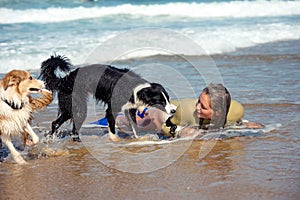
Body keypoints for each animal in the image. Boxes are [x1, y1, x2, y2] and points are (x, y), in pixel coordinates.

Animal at [40, 54, 176, 141]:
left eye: (168, 98)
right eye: (161, 101)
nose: (174, 110)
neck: (138, 89)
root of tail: (64, 80)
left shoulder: (130, 109)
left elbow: (134, 125)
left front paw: (138, 138)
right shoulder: (112, 108)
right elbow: (112, 125)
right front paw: (114, 139)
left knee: (58, 123)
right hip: (76, 105)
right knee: (61, 123)